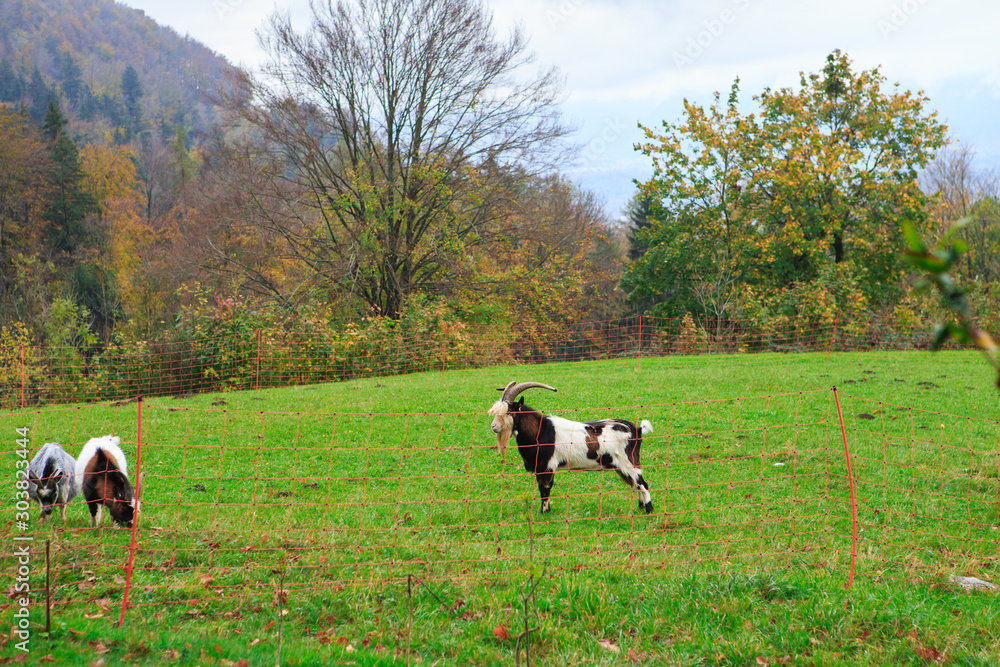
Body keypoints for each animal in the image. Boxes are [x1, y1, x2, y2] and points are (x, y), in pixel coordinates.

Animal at [486, 380, 656, 516]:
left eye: (509, 412)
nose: (493, 426)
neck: (541, 431)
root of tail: (637, 430)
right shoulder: (540, 468)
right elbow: (542, 489)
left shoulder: (547, 466)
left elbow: (545, 489)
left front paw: (544, 513)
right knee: (636, 484)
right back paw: (640, 508)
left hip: (627, 462)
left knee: (643, 484)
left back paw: (649, 510)